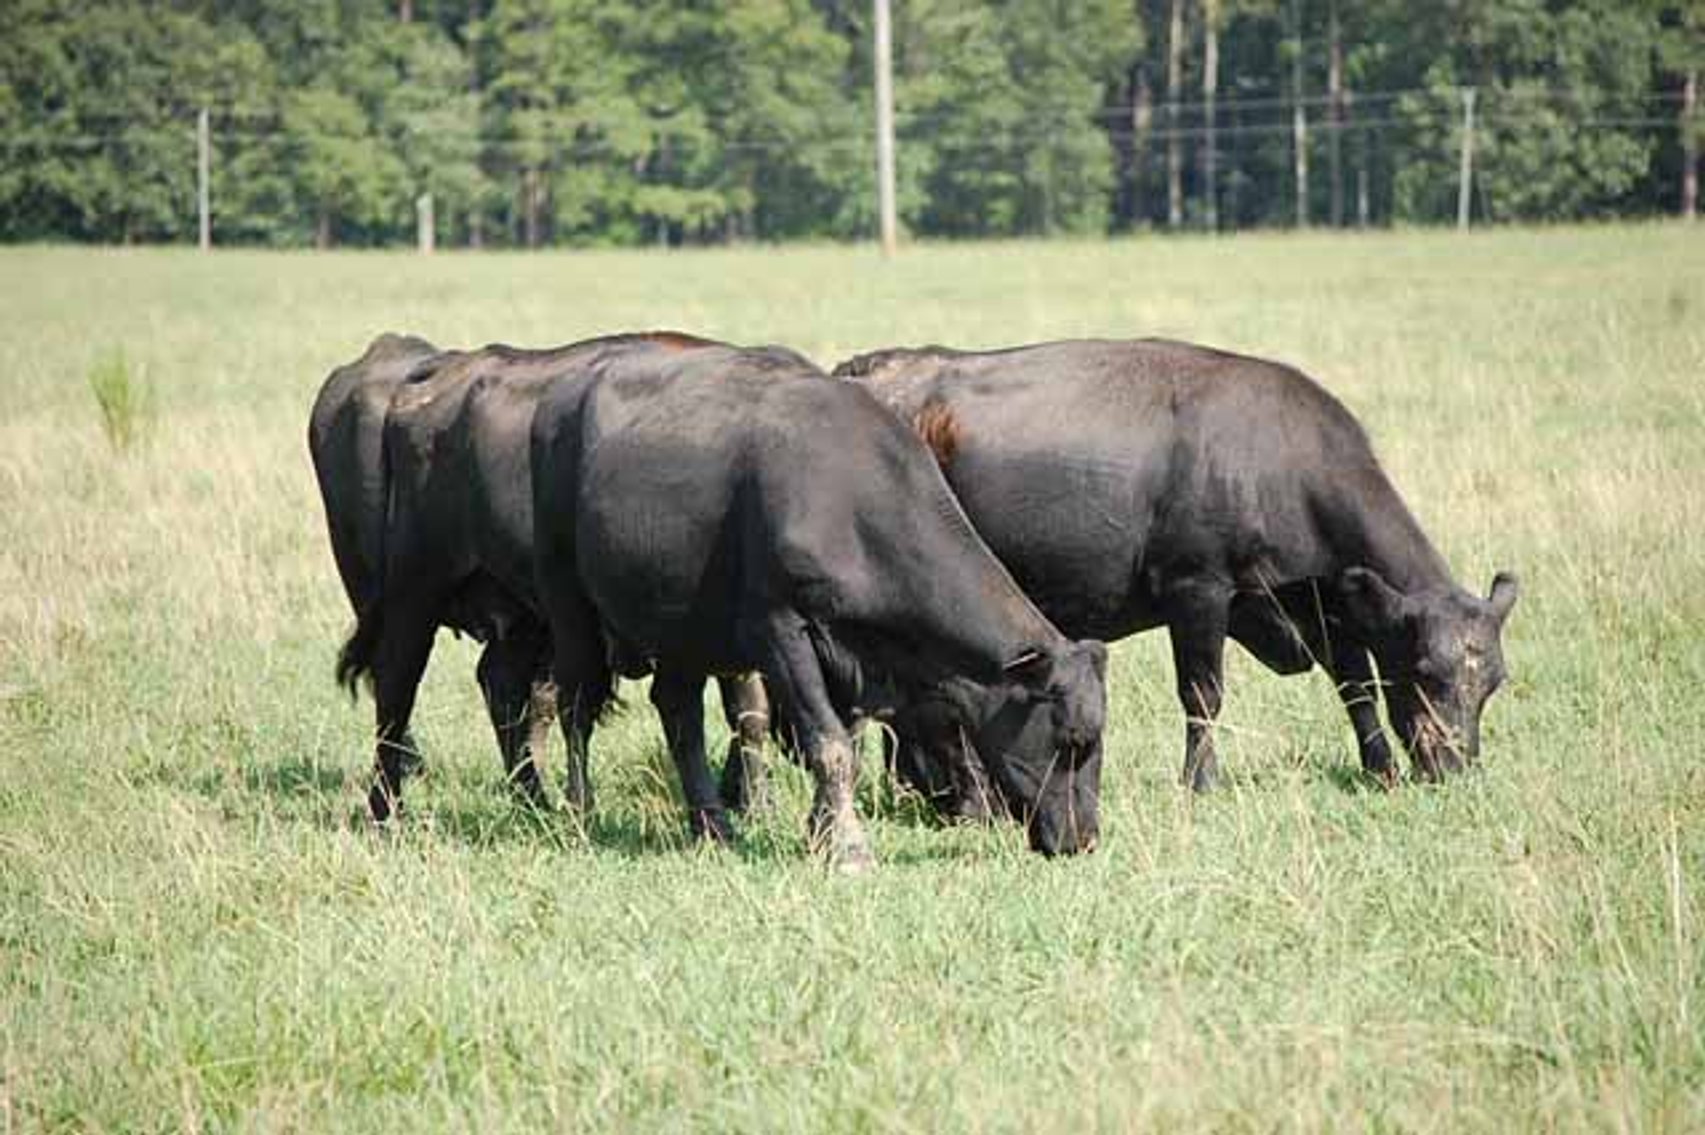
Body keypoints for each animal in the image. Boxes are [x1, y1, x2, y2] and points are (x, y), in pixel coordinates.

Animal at [309, 332, 774, 822]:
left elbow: (748, 710)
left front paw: (753, 801)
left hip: (517, 616)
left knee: (501, 684)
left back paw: (531, 795)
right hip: (410, 593)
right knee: (396, 685)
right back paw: (389, 806)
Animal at [529, 343, 1110, 869]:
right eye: (1072, 739)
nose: (1084, 838)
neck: (849, 499)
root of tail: (564, 394)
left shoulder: (853, 656)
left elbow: (843, 741)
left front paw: (820, 831)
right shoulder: (781, 631)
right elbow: (828, 743)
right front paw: (848, 848)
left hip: (682, 627)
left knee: (678, 711)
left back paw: (713, 825)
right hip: (569, 604)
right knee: (576, 706)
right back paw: (580, 814)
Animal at [832, 338, 1518, 800]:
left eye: (1492, 683)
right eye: (1426, 672)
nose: (1457, 766)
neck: (1277, 461)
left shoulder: (1324, 599)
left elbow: (1357, 687)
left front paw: (1381, 768)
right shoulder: (1199, 591)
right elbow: (1203, 694)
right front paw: (1201, 780)